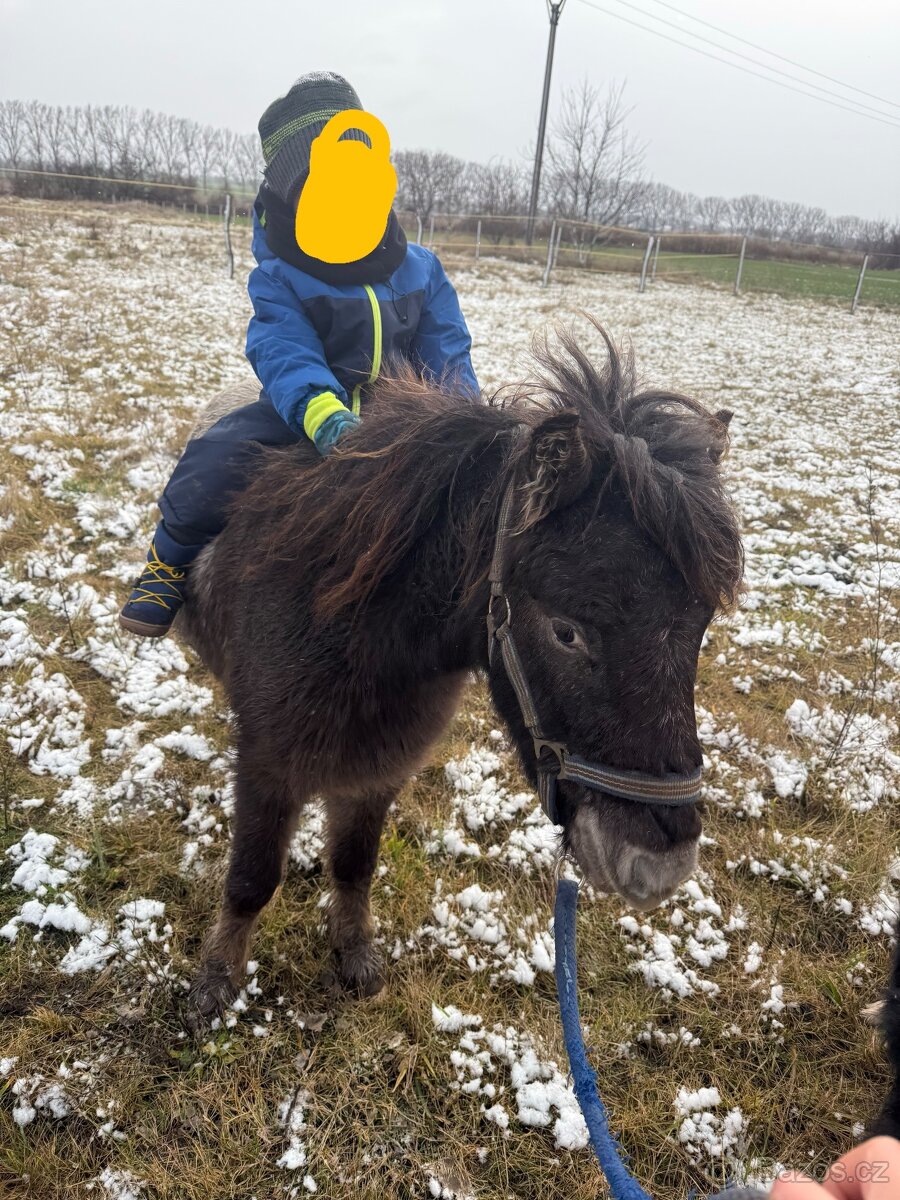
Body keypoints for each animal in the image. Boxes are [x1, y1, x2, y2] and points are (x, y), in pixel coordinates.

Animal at [177, 322, 744, 1019]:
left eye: (699, 628)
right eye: (566, 630)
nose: (658, 868)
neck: (352, 629)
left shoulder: (380, 767)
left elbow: (354, 863)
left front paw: (354, 954)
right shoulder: (267, 765)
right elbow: (253, 878)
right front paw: (216, 983)